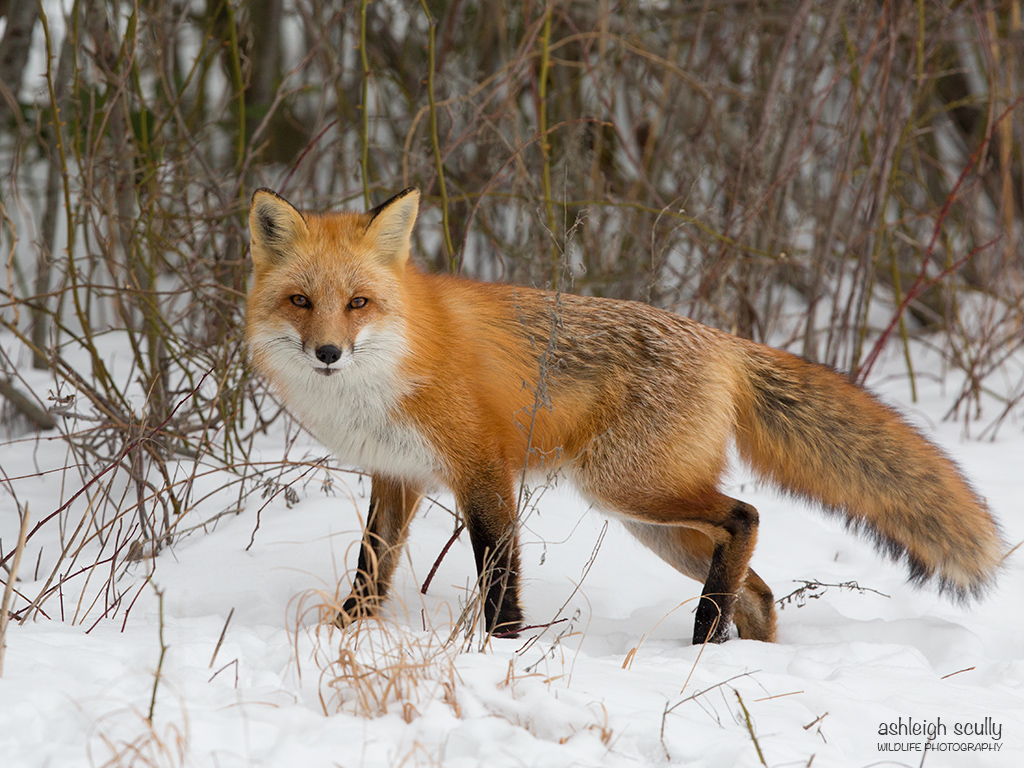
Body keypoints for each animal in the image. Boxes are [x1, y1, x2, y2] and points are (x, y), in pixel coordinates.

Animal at [245, 186, 1003, 644]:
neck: (392, 363)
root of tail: (722, 341)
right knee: (759, 589)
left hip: (632, 490)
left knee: (747, 517)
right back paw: (732, 654)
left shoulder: (482, 469)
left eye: (359, 303)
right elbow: (369, 576)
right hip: (656, 525)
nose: (328, 352)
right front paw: (342, 641)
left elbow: (498, 574)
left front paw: (500, 650)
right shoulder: (397, 475)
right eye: (301, 301)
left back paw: (705, 631)